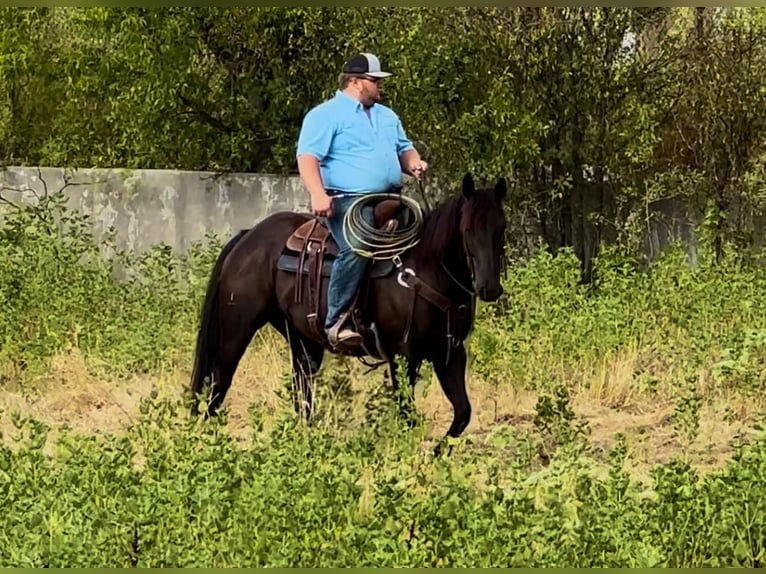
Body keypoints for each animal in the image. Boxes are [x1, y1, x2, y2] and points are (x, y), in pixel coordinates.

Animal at [190, 173, 510, 452]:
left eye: (501, 228)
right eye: (468, 229)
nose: (489, 288)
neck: (426, 269)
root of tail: (247, 237)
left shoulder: (450, 353)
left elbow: (462, 413)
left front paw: (436, 456)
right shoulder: (403, 356)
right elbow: (407, 414)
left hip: (302, 339)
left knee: (302, 390)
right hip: (237, 329)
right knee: (218, 383)